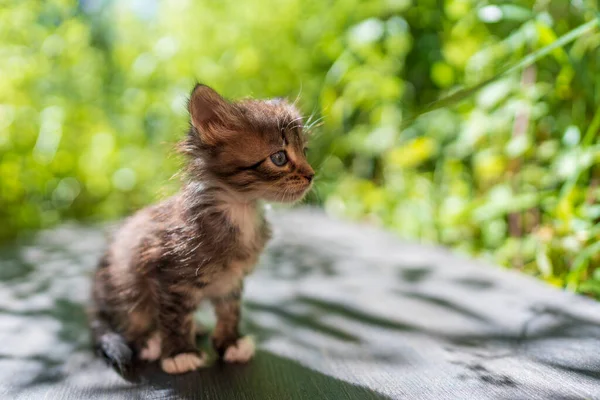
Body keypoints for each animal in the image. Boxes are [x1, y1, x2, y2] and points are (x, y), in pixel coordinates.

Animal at [90, 84, 314, 376]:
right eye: (279, 158)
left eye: (305, 151)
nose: (311, 175)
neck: (240, 210)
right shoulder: (168, 275)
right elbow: (174, 317)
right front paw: (180, 353)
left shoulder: (231, 278)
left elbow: (230, 310)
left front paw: (230, 342)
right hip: (124, 284)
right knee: (128, 319)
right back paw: (150, 340)